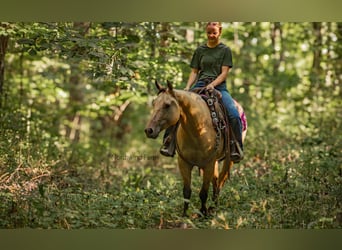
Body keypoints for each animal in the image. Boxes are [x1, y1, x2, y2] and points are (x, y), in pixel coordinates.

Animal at [144, 80, 246, 217]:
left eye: (167, 105)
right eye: (154, 103)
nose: (149, 130)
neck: (197, 129)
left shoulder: (208, 164)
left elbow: (203, 192)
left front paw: (203, 213)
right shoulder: (184, 163)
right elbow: (187, 192)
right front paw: (184, 215)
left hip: (228, 160)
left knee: (220, 181)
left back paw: (214, 207)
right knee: (215, 181)